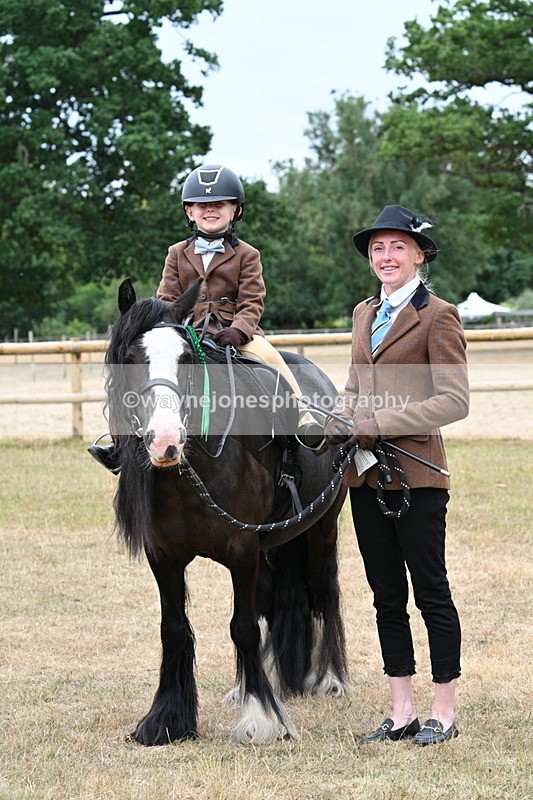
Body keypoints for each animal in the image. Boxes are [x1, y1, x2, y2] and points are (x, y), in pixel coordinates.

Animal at [103, 277, 350, 745]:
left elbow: (243, 628)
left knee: (323, 590)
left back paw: (330, 678)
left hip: (321, 527)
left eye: (185, 358)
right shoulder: (164, 556)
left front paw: (261, 719)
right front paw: (166, 720)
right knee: (270, 599)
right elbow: (174, 628)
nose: (166, 441)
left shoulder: (242, 548)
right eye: (129, 359)